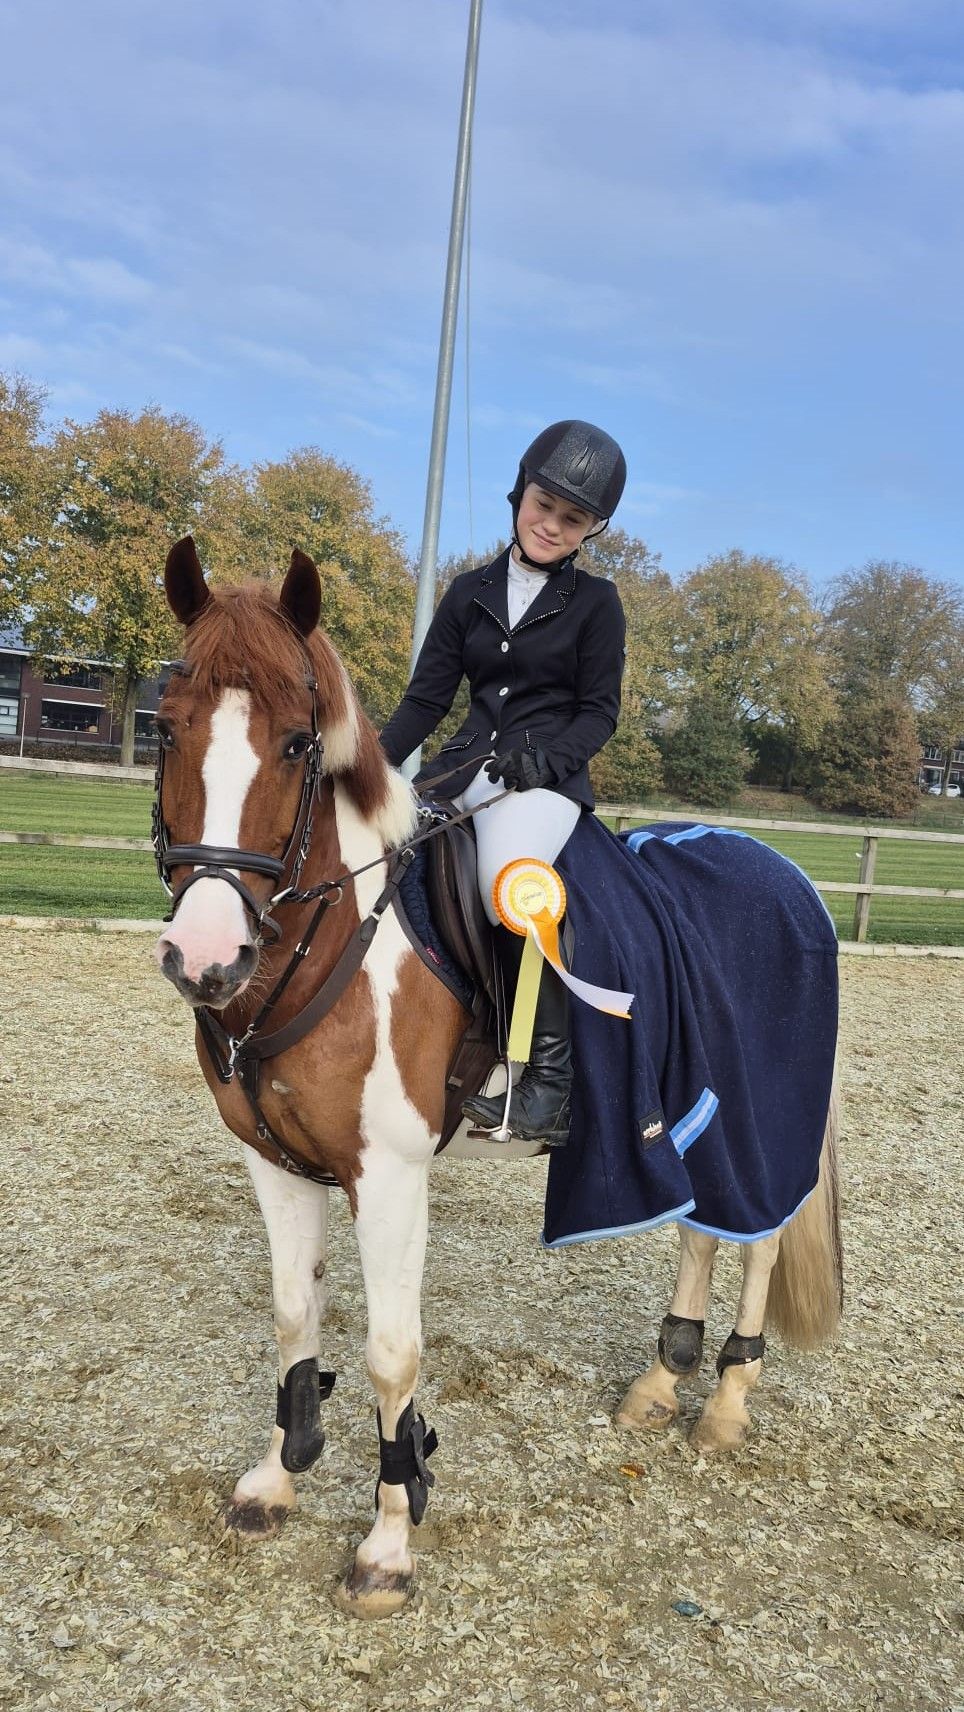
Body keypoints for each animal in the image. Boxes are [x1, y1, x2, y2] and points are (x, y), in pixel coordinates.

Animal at [153, 536, 843, 1619]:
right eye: (166, 728)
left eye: (300, 744)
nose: (206, 956)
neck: (329, 938)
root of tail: (786, 877)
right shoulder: (278, 1163)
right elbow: (293, 1317)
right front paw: (275, 1477)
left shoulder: (389, 1175)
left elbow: (392, 1354)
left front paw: (389, 1540)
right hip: (697, 1111)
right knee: (701, 1227)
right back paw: (662, 1379)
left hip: (763, 1115)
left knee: (758, 1237)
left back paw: (726, 1400)